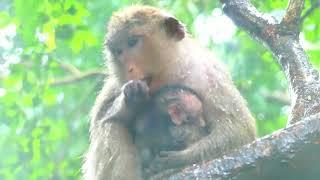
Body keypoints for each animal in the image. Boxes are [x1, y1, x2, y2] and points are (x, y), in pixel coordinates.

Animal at [83, 4, 258, 179]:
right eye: (119, 51)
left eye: (133, 42)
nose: (129, 69)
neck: (169, 72)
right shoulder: (116, 84)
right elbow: (103, 117)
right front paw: (131, 98)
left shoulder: (211, 75)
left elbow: (237, 132)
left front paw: (177, 159)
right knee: (111, 124)